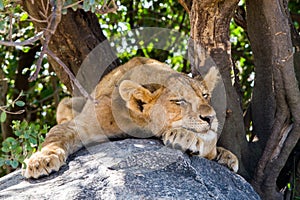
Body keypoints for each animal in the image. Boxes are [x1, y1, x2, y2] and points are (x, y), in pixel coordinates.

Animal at [22, 56, 238, 178]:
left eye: (205, 95)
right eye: (179, 101)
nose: (210, 117)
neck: (140, 124)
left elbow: (209, 141)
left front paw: (186, 137)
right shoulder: (80, 125)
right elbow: (55, 137)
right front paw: (41, 161)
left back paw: (228, 157)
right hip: (66, 102)